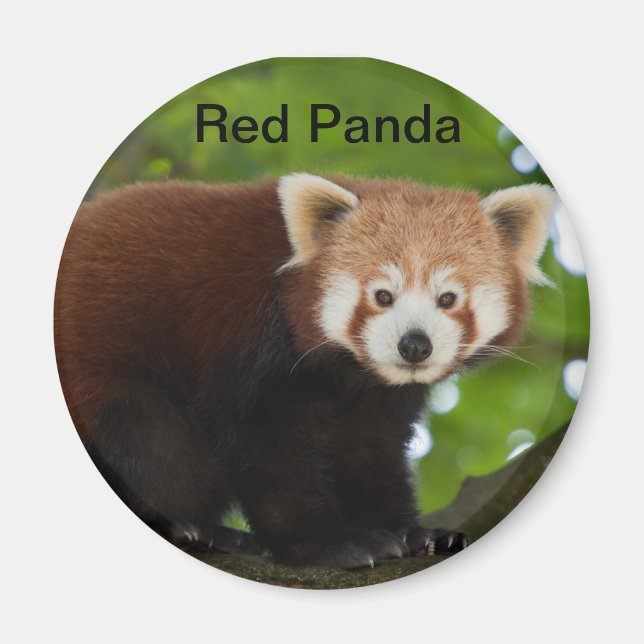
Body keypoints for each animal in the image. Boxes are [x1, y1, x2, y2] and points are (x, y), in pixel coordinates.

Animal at [54, 173, 556, 568]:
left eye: (447, 298)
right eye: (382, 296)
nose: (414, 345)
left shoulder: (375, 396)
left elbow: (369, 450)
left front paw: (413, 533)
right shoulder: (247, 337)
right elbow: (270, 448)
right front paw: (328, 544)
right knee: (146, 436)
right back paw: (188, 525)